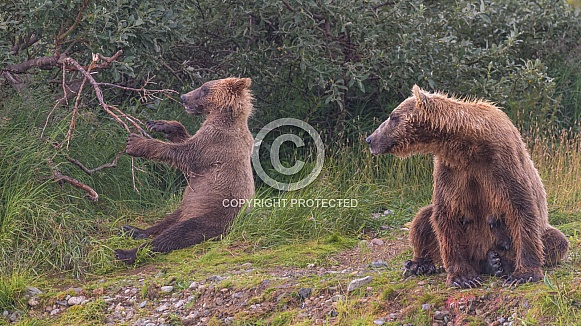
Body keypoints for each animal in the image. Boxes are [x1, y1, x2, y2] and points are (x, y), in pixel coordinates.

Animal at [114, 77, 255, 264]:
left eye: (204, 89)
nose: (183, 97)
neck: (223, 115)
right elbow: (184, 139)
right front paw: (161, 125)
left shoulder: (215, 143)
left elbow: (184, 154)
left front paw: (136, 143)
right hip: (186, 207)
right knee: (167, 221)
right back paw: (134, 230)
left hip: (214, 215)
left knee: (177, 233)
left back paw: (125, 253)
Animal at [364, 84, 568, 288]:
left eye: (392, 117)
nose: (370, 139)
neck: (467, 145)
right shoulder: (451, 170)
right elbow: (445, 214)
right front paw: (463, 277)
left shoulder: (501, 161)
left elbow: (521, 207)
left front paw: (524, 273)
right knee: (423, 218)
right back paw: (420, 264)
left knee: (556, 240)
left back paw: (500, 263)